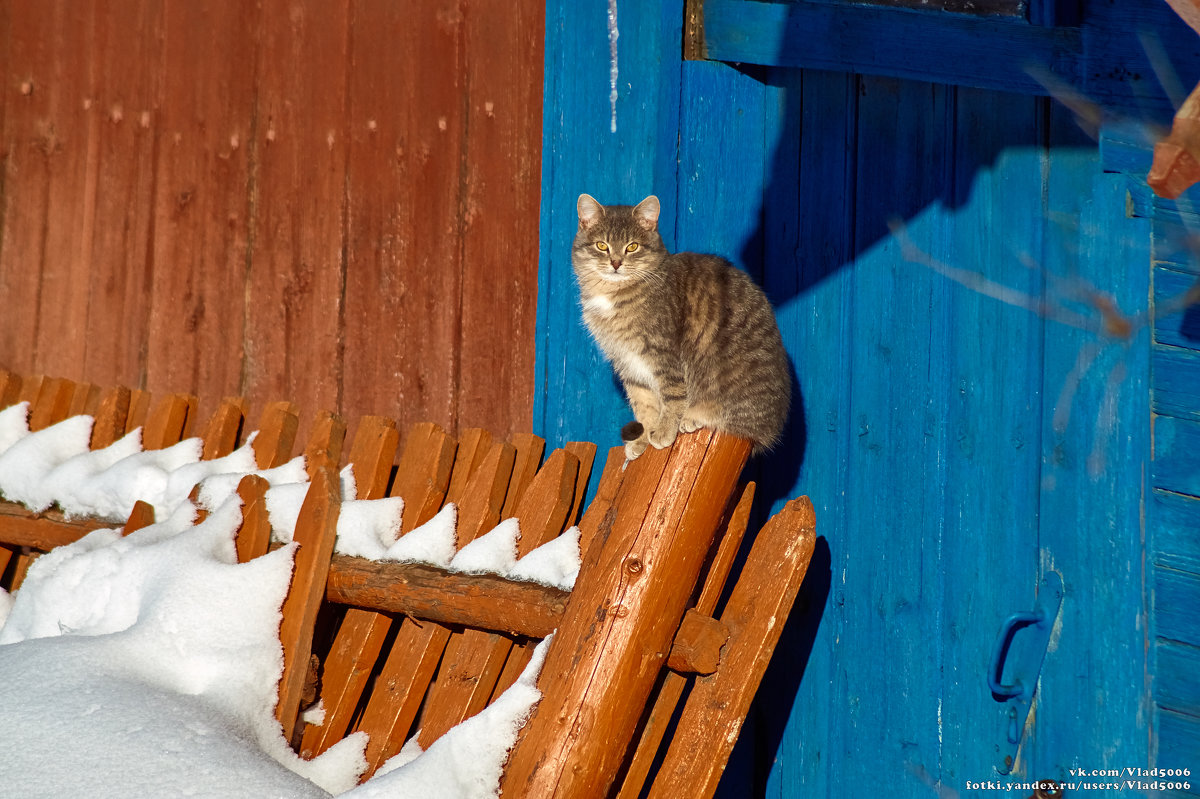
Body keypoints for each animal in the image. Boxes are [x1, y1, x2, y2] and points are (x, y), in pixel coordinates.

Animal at [571, 189, 787, 458]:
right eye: (602, 245)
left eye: (632, 246)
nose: (616, 263)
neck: (613, 294)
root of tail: (771, 429)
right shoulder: (627, 363)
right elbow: (643, 405)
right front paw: (642, 440)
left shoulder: (664, 355)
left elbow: (672, 396)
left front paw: (664, 430)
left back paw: (695, 417)